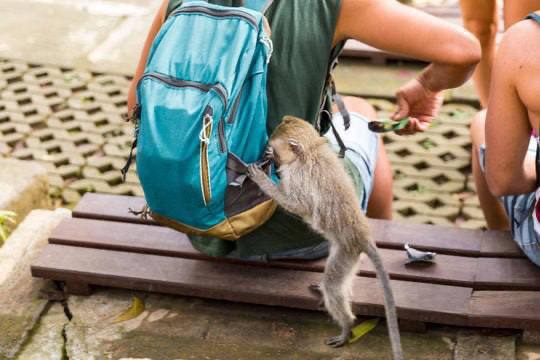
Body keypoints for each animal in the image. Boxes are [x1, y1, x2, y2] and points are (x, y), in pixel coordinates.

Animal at [247, 116, 402, 358]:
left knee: (333, 286)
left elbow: (298, 205)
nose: (273, 156)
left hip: (346, 252)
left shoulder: (298, 176)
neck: (311, 151)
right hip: (345, 252)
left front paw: (263, 179)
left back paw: (347, 326)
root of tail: (362, 236)